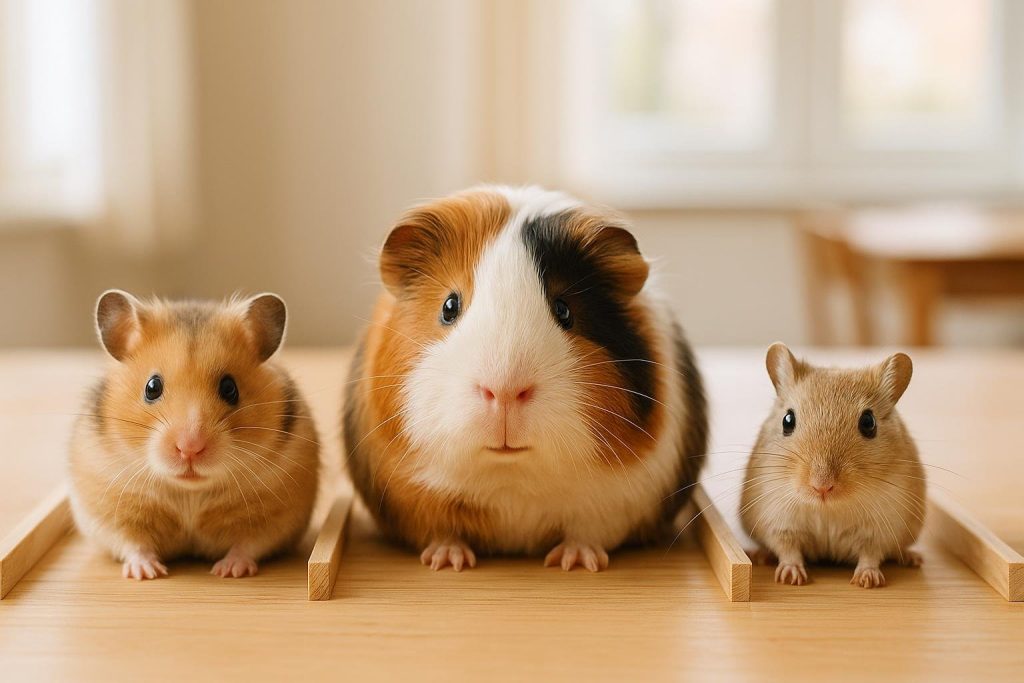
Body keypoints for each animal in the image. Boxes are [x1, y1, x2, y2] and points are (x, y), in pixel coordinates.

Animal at [69, 290, 320, 580]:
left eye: (230, 388)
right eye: (152, 387)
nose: (190, 448)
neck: (189, 491)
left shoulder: (277, 514)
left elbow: (248, 543)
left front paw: (229, 571)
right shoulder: (108, 507)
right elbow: (132, 542)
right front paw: (148, 573)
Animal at [343, 185, 707, 571]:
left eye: (564, 310)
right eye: (449, 306)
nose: (504, 391)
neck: (510, 479)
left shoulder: (614, 504)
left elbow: (586, 532)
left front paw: (577, 563)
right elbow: (442, 529)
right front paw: (448, 562)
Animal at [739, 343, 925, 588]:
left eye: (869, 423)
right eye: (787, 420)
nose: (822, 486)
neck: (828, 507)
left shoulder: (881, 528)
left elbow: (871, 554)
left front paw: (868, 581)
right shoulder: (778, 520)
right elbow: (788, 549)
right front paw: (791, 578)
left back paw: (913, 558)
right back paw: (760, 556)